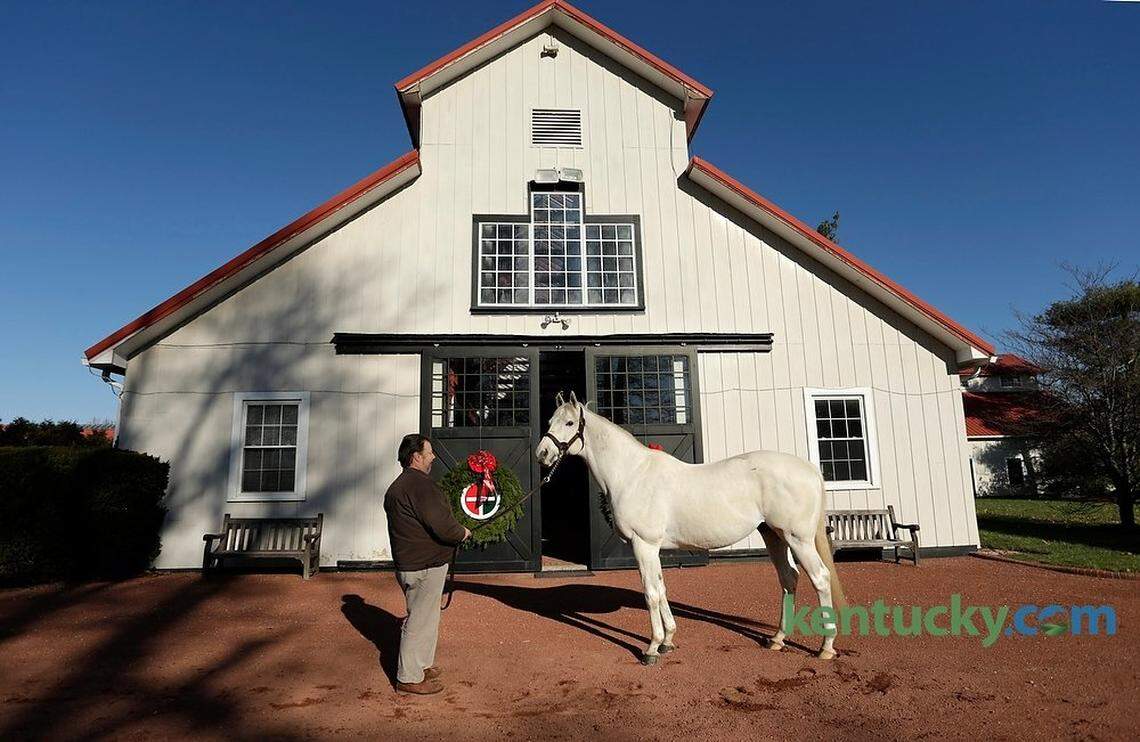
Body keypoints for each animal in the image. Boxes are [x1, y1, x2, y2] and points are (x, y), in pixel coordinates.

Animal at [535, 392, 846, 663]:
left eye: (569, 423)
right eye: (550, 420)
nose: (542, 453)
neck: (633, 474)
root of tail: (810, 469)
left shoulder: (644, 545)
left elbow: (651, 592)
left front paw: (651, 648)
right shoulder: (652, 549)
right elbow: (661, 588)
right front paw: (668, 641)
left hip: (798, 539)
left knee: (820, 578)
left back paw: (826, 647)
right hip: (773, 536)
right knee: (788, 578)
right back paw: (778, 640)